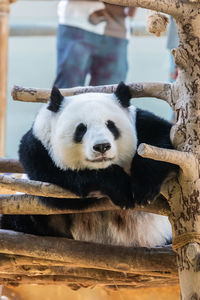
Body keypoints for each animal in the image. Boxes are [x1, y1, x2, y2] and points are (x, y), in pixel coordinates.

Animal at [0, 83, 178, 247]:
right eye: (81, 129)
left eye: (110, 125)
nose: (102, 146)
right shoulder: (38, 147)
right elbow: (59, 186)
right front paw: (118, 187)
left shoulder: (140, 122)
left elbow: (161, 142)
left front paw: (143, 187)